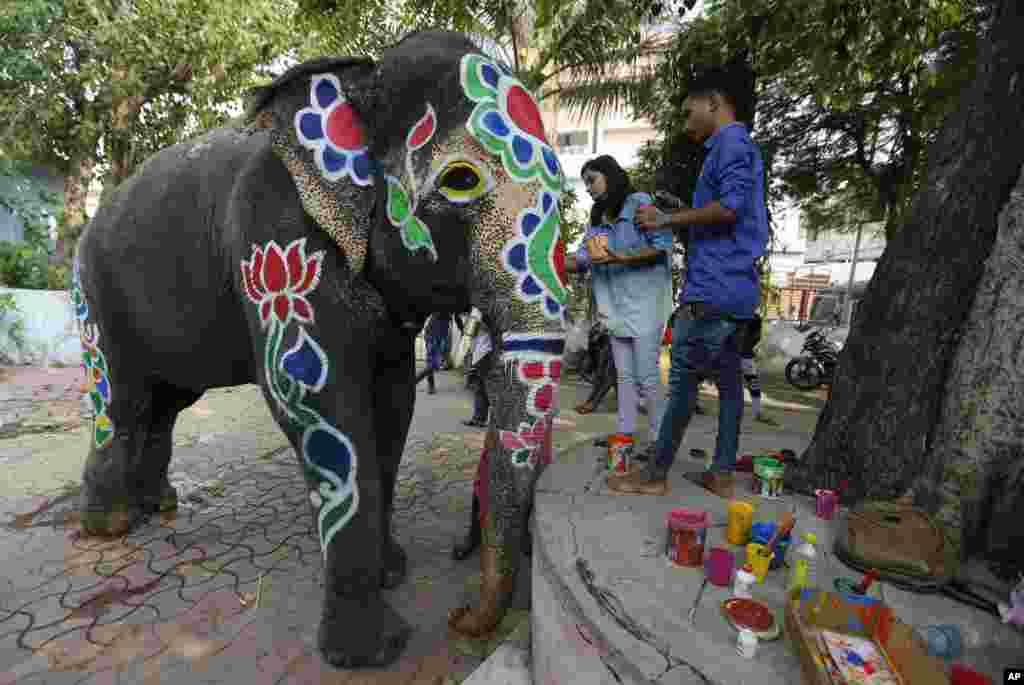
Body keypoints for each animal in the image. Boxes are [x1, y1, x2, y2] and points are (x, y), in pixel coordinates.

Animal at [72, 31, 569, 667]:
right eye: (461, 180)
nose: (460, 617)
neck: (361, 80)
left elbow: (393, 399)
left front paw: (393, 573)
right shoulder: (274, 237)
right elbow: (314, 395)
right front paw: (372, 653)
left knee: (163, 406)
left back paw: (155, 507)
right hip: (95, 295)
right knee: (123, 400)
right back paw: (111, 526)